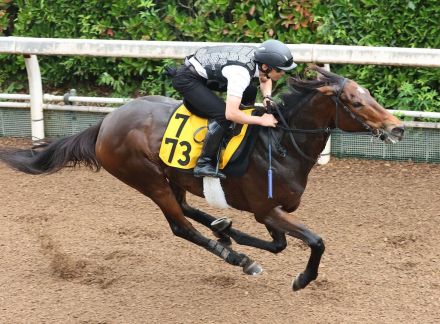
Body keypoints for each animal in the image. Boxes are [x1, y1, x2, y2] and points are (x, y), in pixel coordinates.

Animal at [0, 65, 406, 292]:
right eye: (355, 102)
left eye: (369, 95)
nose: (397, 128)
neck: (280, 143)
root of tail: (105, 123)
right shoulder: (265, 209)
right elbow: (315, 241)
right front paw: (301, 279)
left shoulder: (268, 210)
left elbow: (278, 244)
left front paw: (231, 231)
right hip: (148, 180)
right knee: (180, 225)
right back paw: (236, 257)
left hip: (173, 178)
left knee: (188, 210)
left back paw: (223, 230)